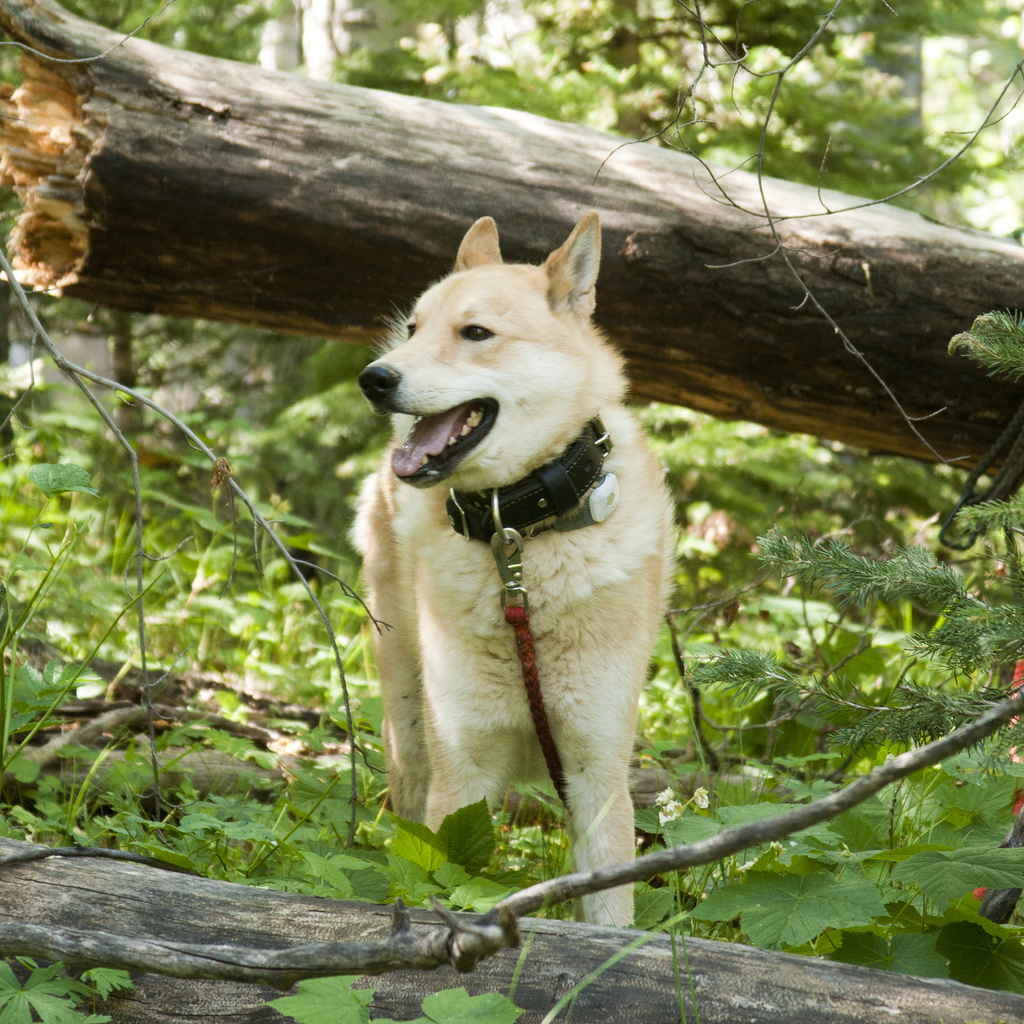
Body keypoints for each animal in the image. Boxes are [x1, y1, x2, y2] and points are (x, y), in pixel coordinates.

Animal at [356, 211, 675, 925]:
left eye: (476, 333)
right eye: (415, 328)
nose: (374, 378)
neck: (518, 538)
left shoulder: (598, 775)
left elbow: (610, 918)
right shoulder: (462, 773)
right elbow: (441, 883)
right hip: (409, 727)